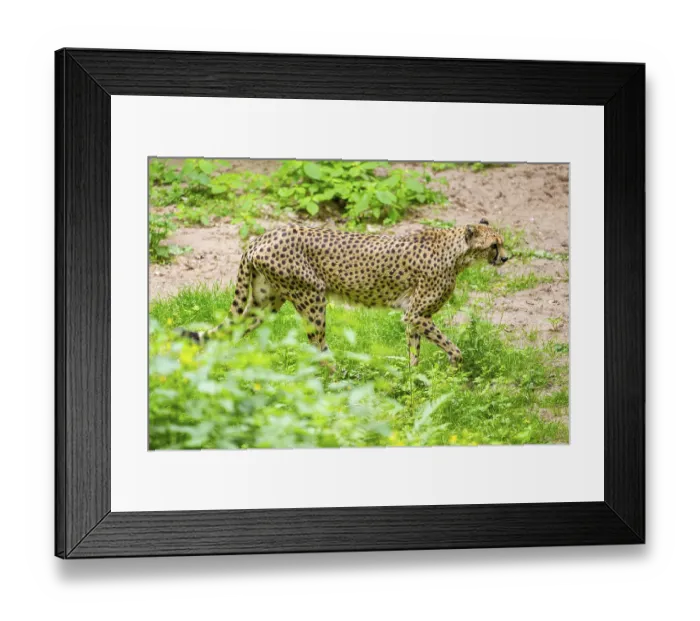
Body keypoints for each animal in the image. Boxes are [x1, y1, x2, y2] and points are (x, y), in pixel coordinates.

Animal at [184, 218, 508, 367]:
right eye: (494, 245)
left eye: (502, 242)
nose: (506, 258)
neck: (455, 253)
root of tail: (261, 238)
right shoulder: (417, 314)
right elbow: (452, 347)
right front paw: (453, 368)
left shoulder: (413, 317)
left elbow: (414, 351)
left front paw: (415, 381)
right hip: (312, 295)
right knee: (317, 345)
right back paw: (336, 379)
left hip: (266, 302)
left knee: (232, 331)